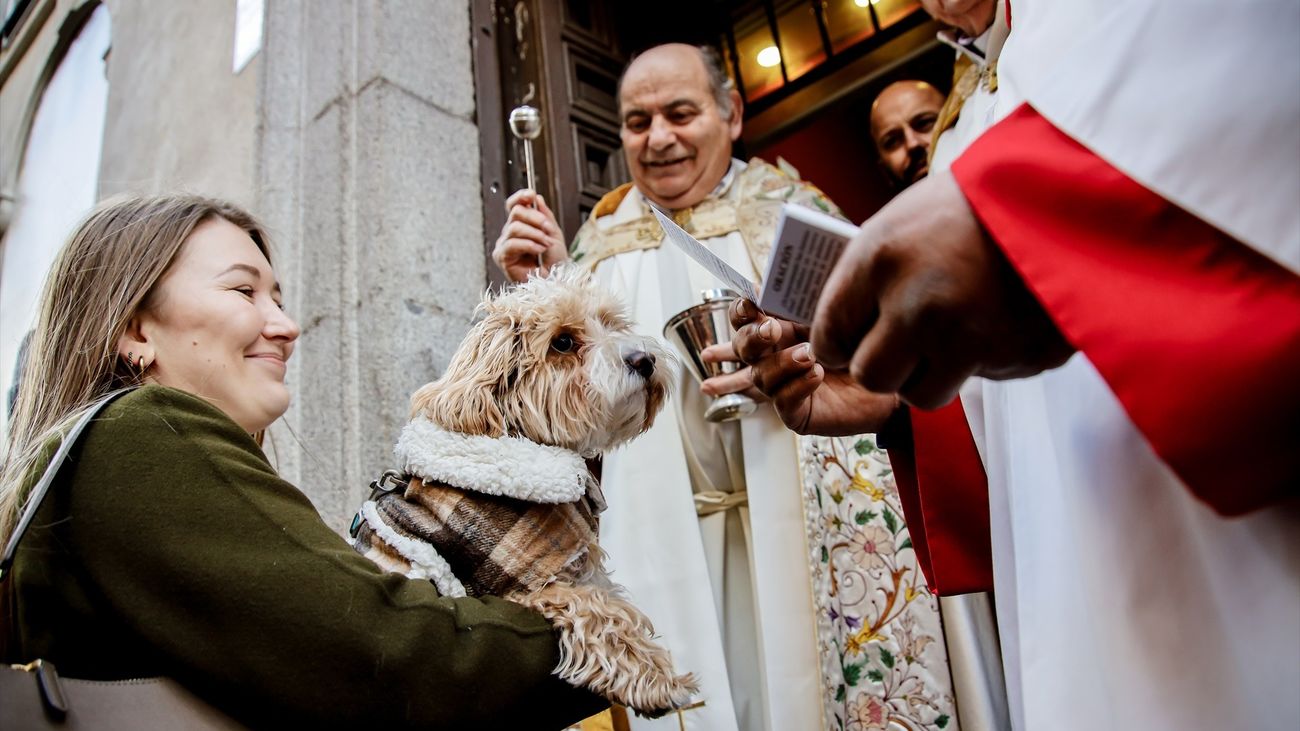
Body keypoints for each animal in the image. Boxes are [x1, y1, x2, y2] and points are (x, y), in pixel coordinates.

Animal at [351, 266, 702, 712]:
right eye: (563, 342)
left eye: (610, 323)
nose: (644, 359)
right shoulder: (516, 589)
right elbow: (598, 610)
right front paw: (657, 678)